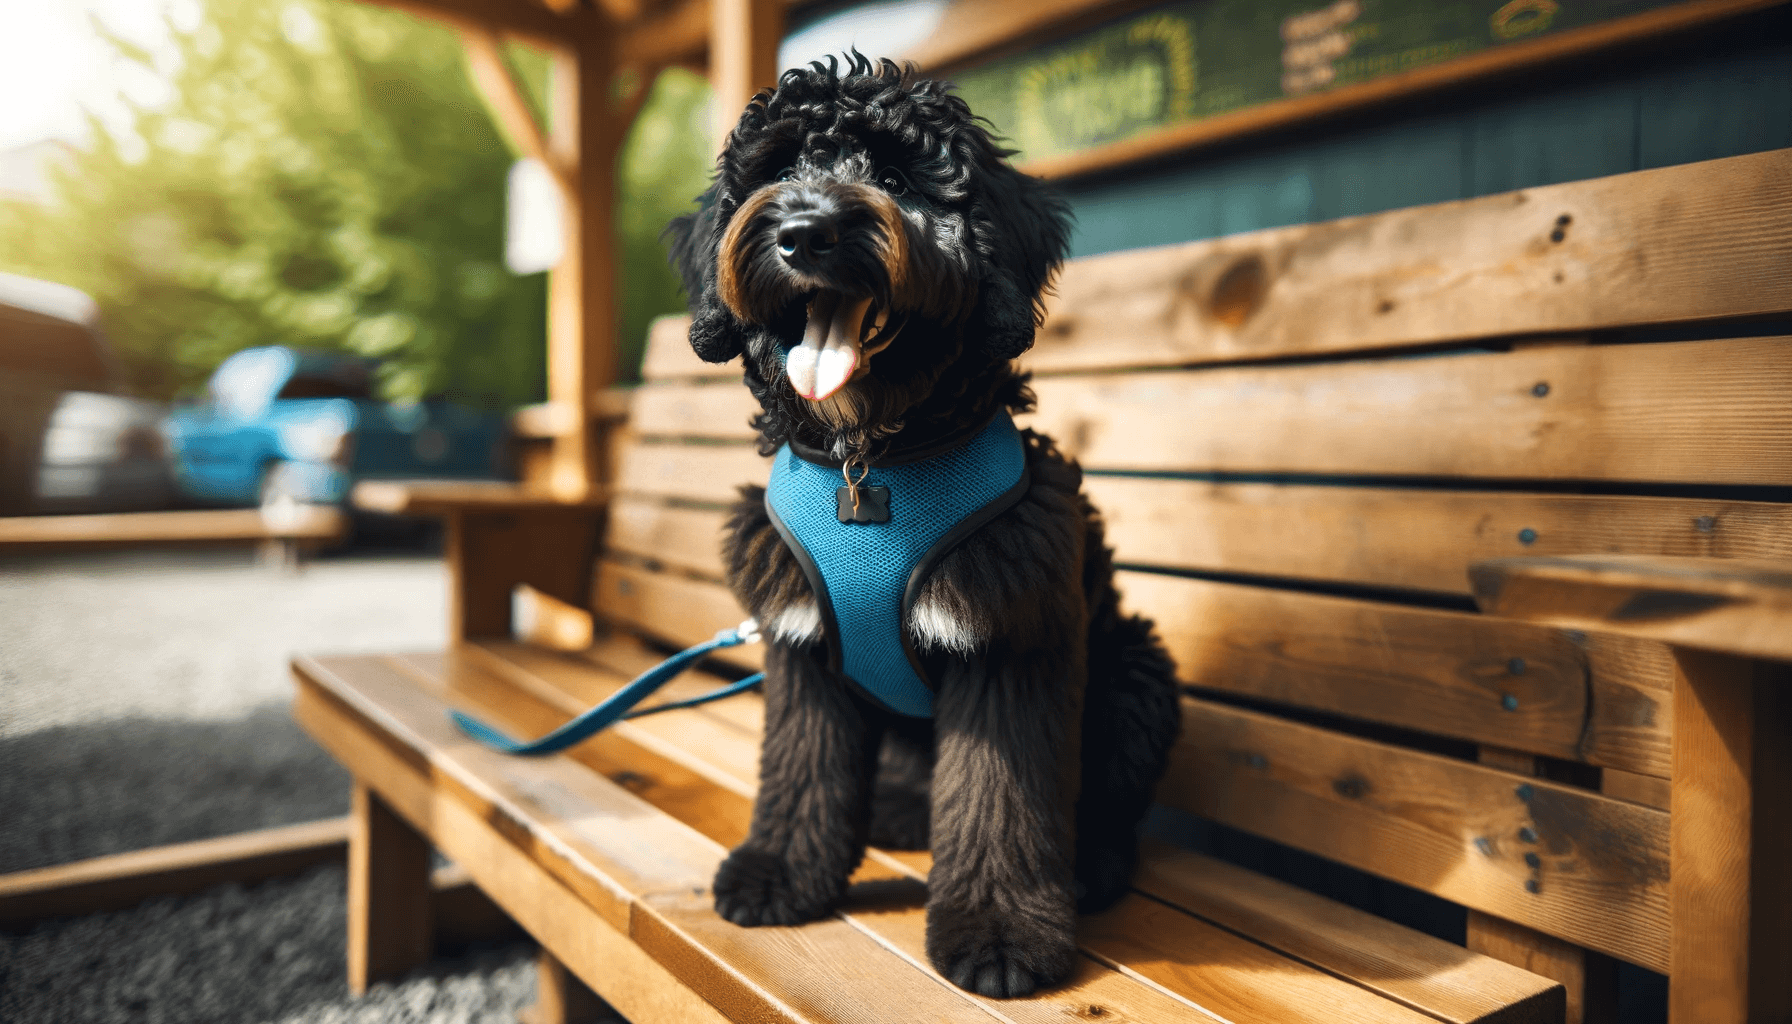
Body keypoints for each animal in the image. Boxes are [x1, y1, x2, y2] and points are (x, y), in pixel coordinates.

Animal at [666, 56, 1182, 1004]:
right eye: (779, 169)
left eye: (899, 178)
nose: (804, 233)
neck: (872, 460)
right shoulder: (804, 645)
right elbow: (800, 768)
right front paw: (779, 874)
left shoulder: (1010, 642)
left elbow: (1000, 802)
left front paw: (1001, 932)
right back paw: (905, 809)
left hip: (1134, 670)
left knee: (1106, 806)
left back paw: (1090, 865)